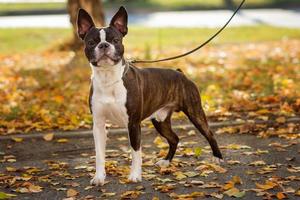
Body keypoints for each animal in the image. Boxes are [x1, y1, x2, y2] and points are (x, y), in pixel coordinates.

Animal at [77, 6, 223, 186]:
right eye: (91, 42)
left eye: (115, 40)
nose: (104, 45)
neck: (108, 78)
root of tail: (180, 73)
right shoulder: (98, 125)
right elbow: (99, 154)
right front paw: (99, 177)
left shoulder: (133, 124)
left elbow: (135, 152)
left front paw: (135, 176)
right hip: (160, 121)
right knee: (174, 138)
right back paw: (166, 161)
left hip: (194, 112)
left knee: (209, 133)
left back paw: (217, 158)